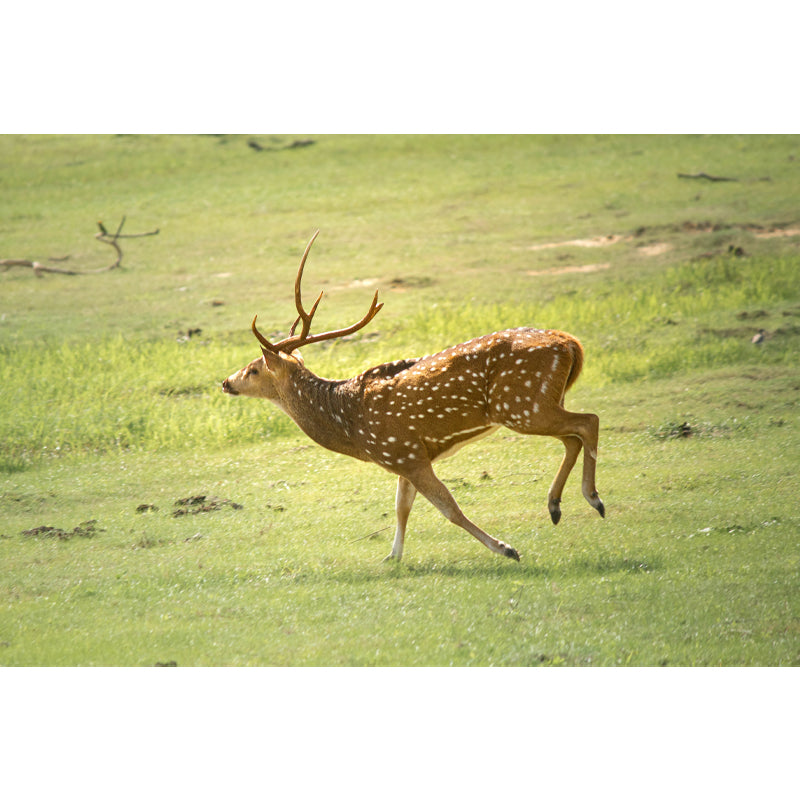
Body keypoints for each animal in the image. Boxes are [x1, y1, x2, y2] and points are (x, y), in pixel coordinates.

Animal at [222, 231, 605, 562]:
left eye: (254, 369)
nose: (226, 382)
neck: (352, 428)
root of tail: (570, 343)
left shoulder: (405, 453)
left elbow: (449, 507)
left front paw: (506, 548)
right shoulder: (402, 456)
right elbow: (402, 507)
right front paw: (392, 557)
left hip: (522, 405)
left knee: (589, 421)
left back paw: (593, 499)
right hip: (541, 403)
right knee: (573, 436)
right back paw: (555, 506)